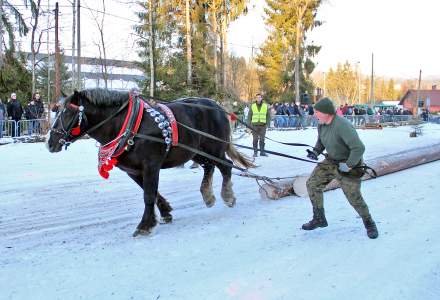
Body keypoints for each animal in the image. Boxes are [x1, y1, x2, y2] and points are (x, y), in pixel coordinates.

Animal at [46, 88, 253, 236]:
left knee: (226, 166)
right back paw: (208, 195)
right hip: (196, 152)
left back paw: (227, 195)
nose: (50, 143)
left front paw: (144, 225)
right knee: (209, 166)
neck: (129, 125)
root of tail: (218, 106)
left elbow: (148, 195)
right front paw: (165, 213)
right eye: (57, 111)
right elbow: (153, 193)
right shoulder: (134, 170)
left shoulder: (151, 165)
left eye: (67, 113)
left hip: (215, 148)